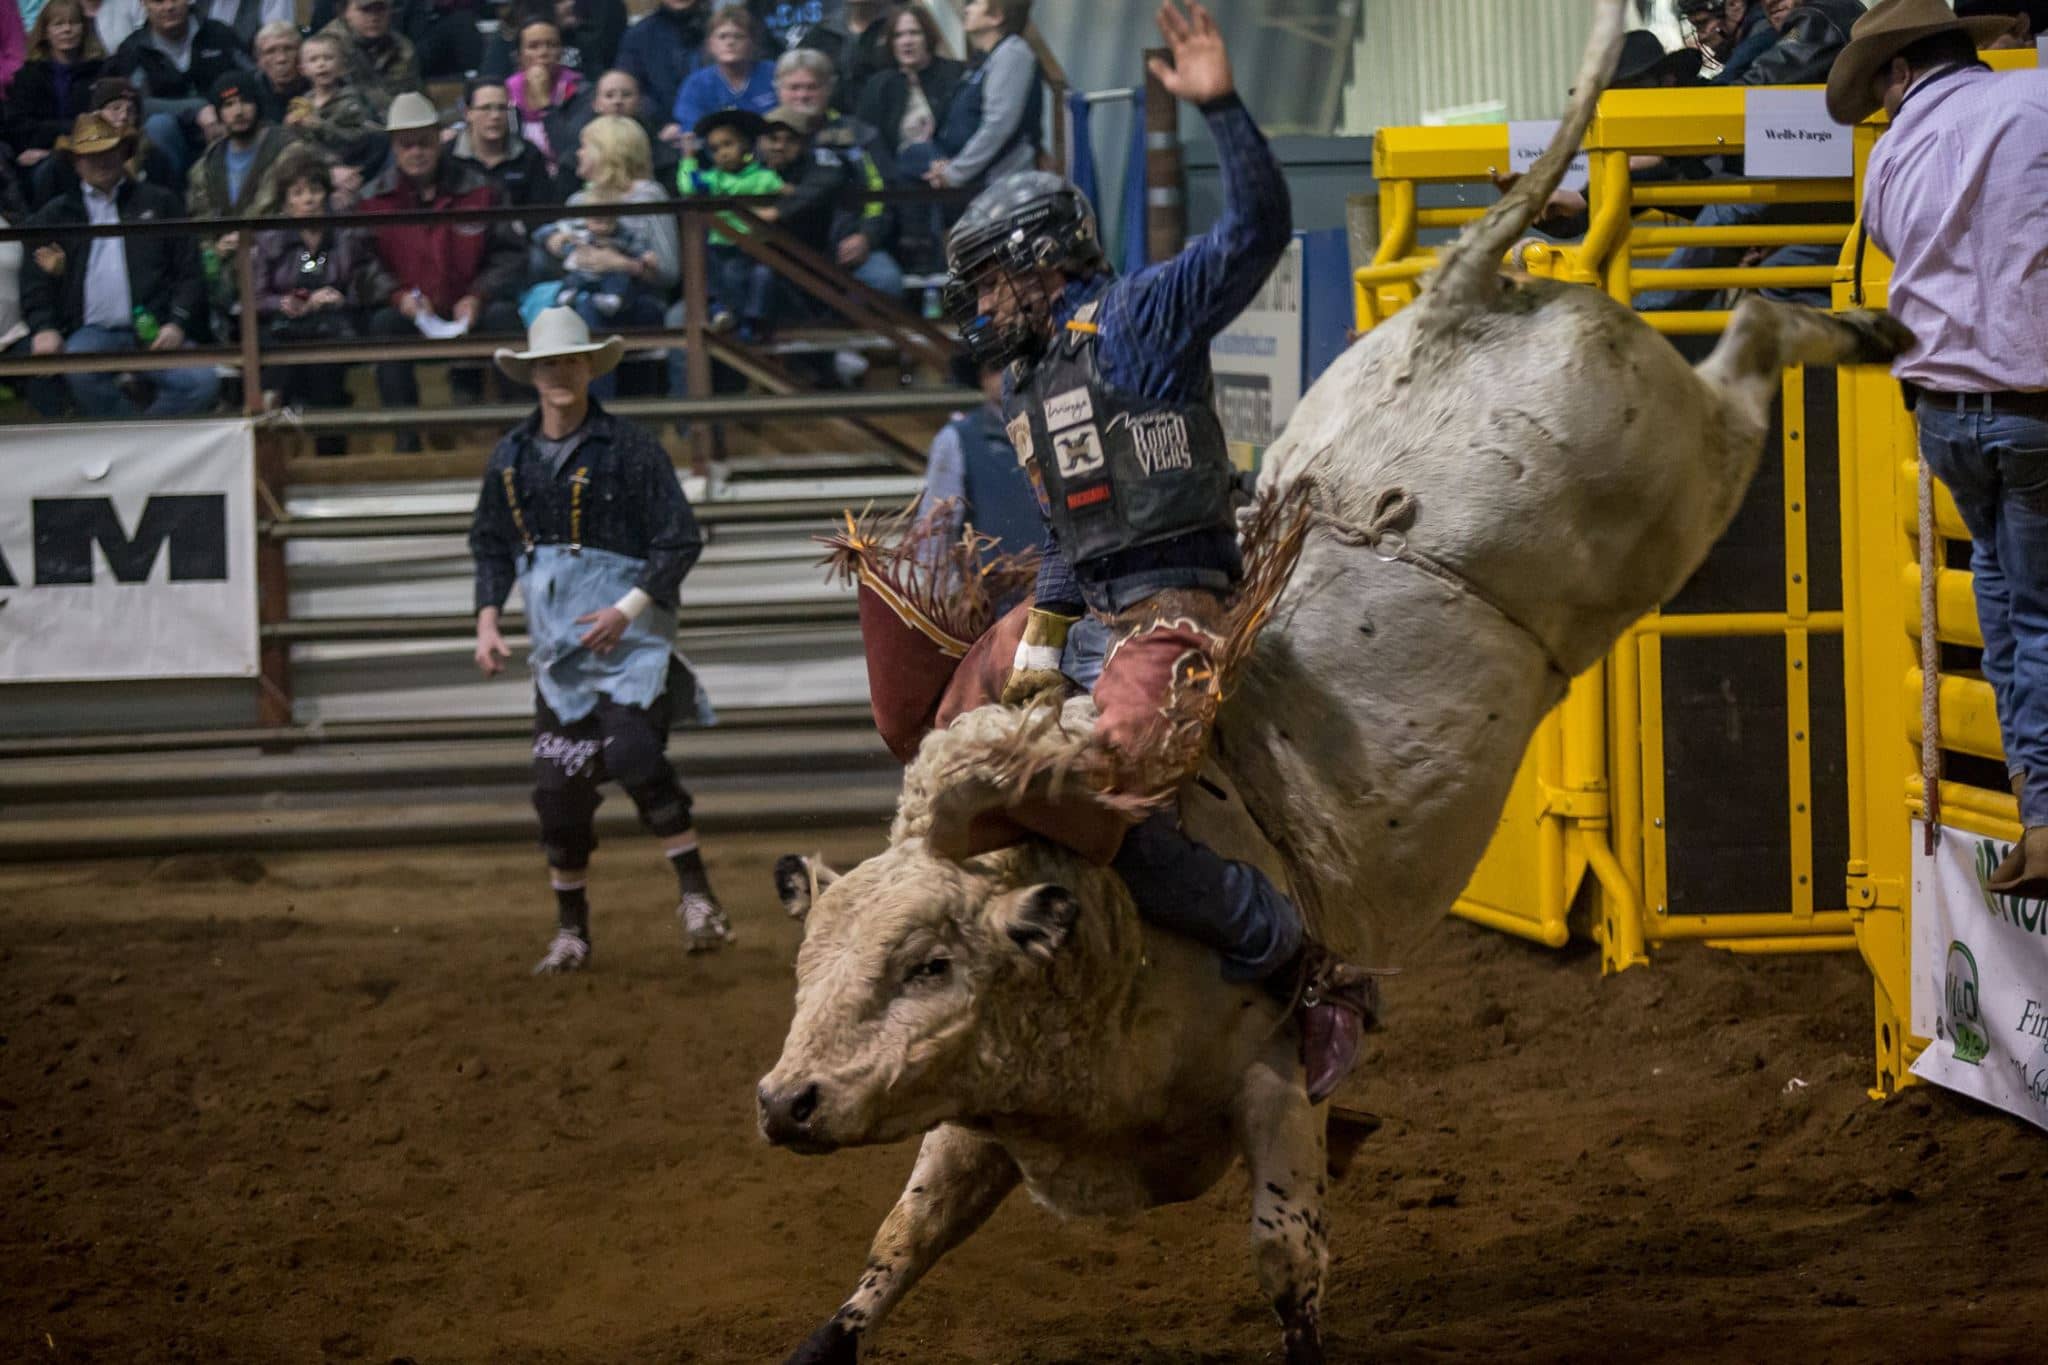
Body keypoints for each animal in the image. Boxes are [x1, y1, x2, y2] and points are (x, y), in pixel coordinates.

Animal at [761, 5, 1908, 1358]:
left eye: (927, 967)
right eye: (808, 965)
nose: (784, 1101)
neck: (1100, 931)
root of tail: (1454, 301)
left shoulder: (1274, 1085)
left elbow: (1284, 1253)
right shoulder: (977, 1123)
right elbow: (903, 1238)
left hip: (1687, 473)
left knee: (1751, 334)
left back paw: (1860, 330)